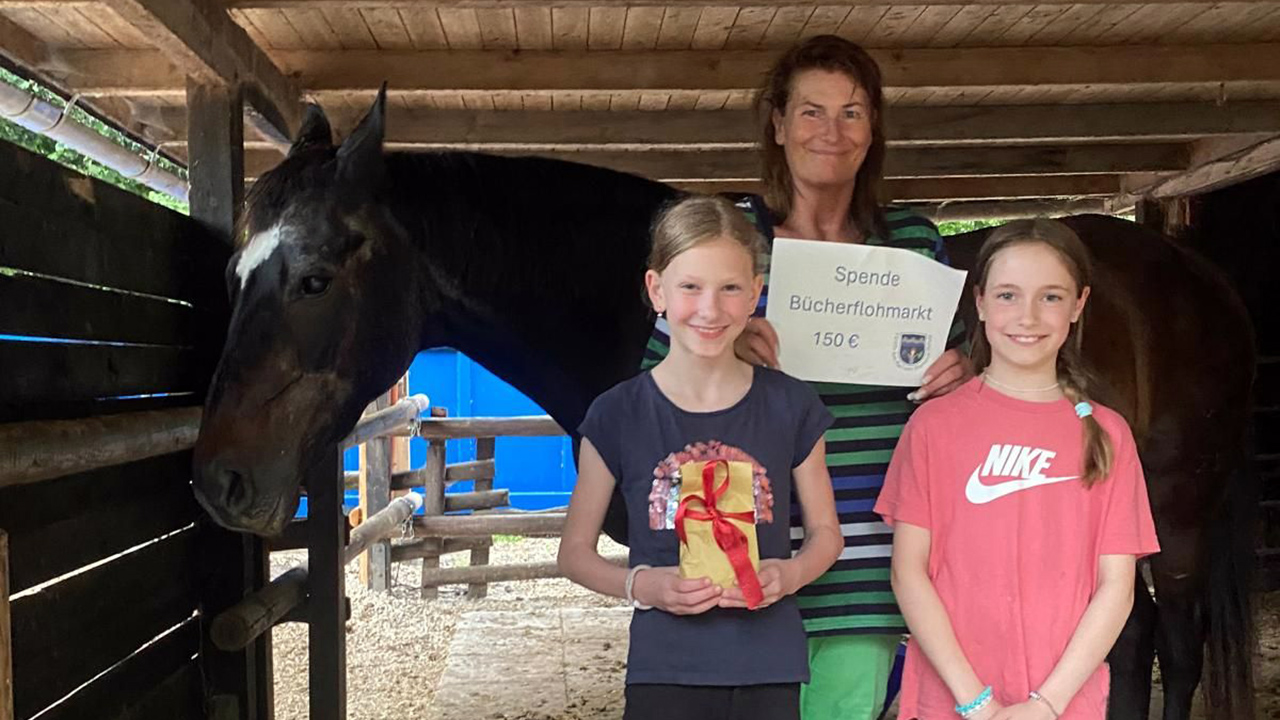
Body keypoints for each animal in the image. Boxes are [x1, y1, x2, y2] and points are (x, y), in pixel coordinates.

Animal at [192, 96, 1259, 717]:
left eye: (315, 277)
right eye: (234, 273)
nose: (220, 480)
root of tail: (1193, 273)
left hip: (1179, 523)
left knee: (1173, 646)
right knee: (1127, 646)